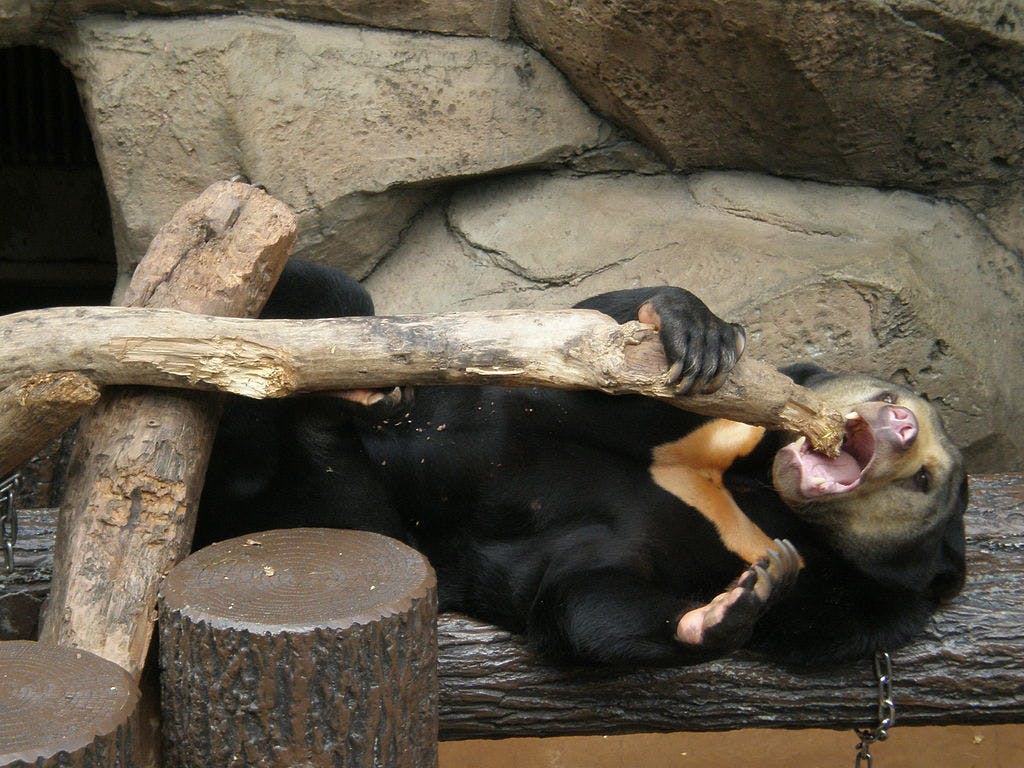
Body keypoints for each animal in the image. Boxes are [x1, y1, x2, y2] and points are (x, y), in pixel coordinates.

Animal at [197, 259, 968, 667]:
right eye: (891, 395)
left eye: (926, 480)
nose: (900, 427)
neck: (752, 486)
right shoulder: (712, 424)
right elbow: (597, 347)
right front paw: (696, 328)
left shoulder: (856, 590)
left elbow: (590, 603)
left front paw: (740, 599)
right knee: (323, 291)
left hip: (354, 518)